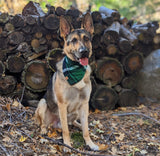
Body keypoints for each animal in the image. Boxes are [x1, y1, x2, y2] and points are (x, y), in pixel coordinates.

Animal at [35, 12, 99, 152]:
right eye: (73, 40)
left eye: (86, 39)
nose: (83, 51)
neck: (76, 69)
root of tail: (54, 124)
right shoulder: (62, 104)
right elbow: (66, 130)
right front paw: (68, 145)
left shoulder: (85, 103)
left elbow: (85, 130)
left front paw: (90, 143)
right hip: (43, 103)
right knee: (45, 123)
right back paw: (44, 130)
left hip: (77, 111)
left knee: (76, 123)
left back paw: (80, 125)